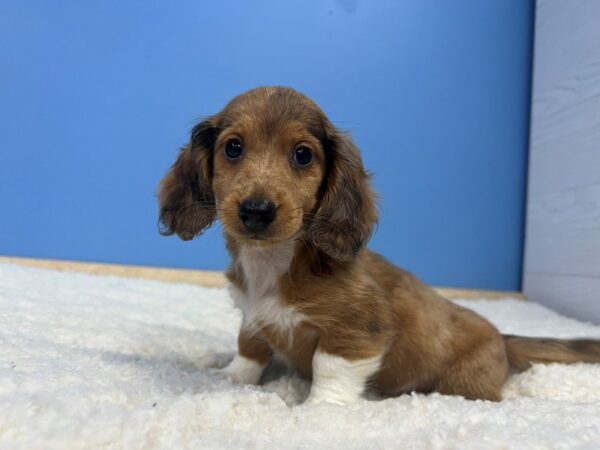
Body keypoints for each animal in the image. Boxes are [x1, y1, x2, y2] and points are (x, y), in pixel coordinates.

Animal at [159, 87, 600, 404]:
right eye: (233, 147)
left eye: (303, 155)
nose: (256, 210)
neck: (274, 263)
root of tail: (502, 340)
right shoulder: (253, 317)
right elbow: (249, 349)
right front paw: (231, 378)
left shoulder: (357, 330)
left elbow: (329, 370)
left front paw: (315, 413)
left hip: (463, 387)